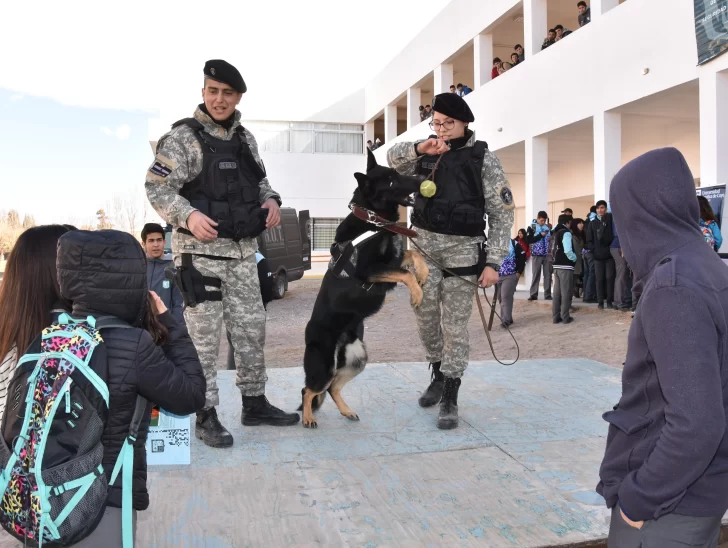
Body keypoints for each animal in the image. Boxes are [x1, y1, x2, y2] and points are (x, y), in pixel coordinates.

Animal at [298, 150, 430, 428]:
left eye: (397, 173)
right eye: (391, 181)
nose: (422, 177)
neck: (373, 220)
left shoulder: (389, 262)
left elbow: (413, 255)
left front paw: (423, 273)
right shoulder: (370, 271)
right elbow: (405, 273)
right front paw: (416, 293)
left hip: (357, 360)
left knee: (332, 388)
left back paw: (346, 411)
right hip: (324, 365)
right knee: (309, 390)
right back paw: (307, 418)